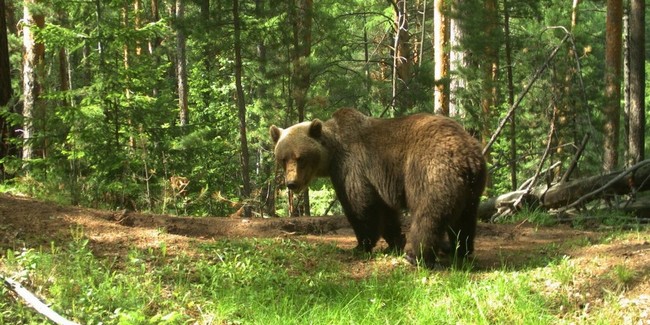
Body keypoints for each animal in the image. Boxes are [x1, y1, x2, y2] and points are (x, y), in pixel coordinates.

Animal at [266, 108, 484, 266]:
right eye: (283, 158)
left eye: (300, 158)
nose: (291, 183)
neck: (332, 154)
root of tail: (467, 155)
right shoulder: (378, 182)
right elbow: (386, 212)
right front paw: (394, 242)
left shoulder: (352, 167)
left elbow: (360, 207)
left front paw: (361, 245)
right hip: (472, 188)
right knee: (465, 219)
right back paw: (460, 250)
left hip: (430, 170)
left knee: (429, 214)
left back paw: (415, 255)